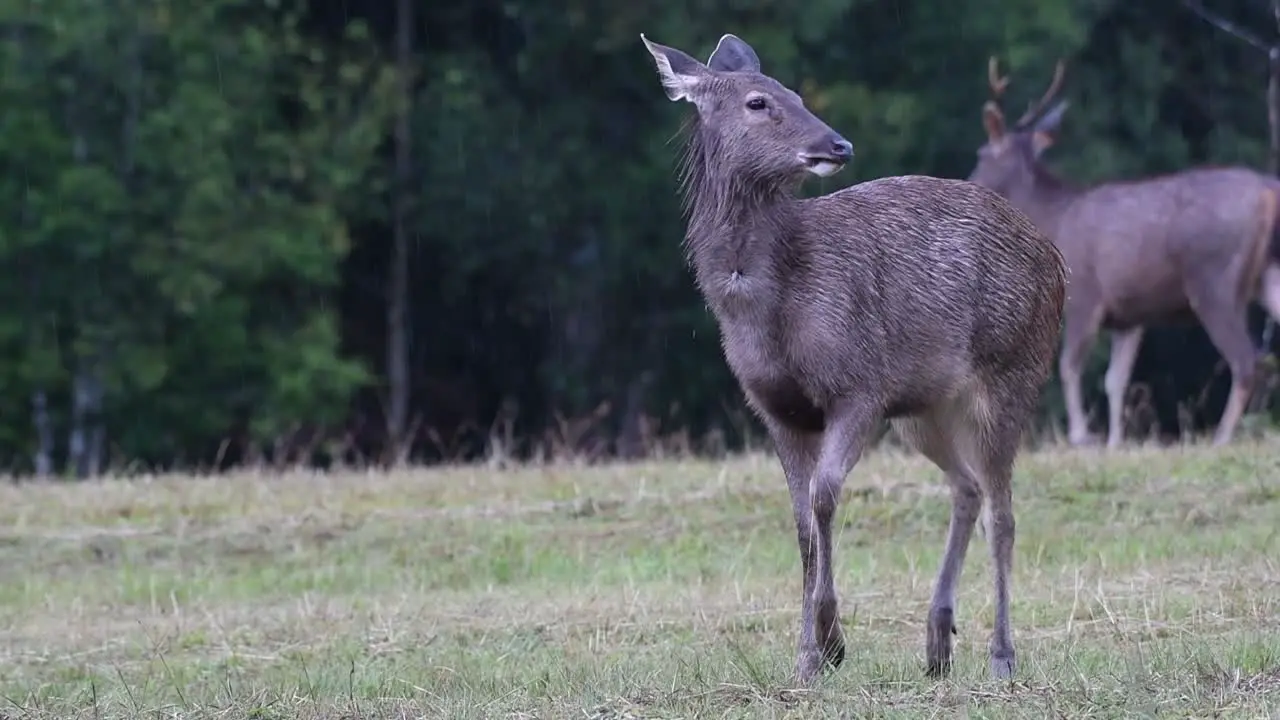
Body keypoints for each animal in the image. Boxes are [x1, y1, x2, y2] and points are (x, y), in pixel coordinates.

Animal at [640, 33, 1070, 681]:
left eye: (797, 93)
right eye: (759, 102)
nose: (837, 144)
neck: (767, 308)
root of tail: (1057, 262)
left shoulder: (859, 387)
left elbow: (824, 497)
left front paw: (831, 641)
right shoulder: (775, 408)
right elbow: (801, 523)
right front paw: (807, 659)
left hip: (1012, 370)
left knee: (1004, 511)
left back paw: (1001, 655)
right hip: (925, 407)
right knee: (968, 488)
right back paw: (937, 644)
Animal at [962, 58, 1280, 445]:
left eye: (981, 153)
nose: (968, 180)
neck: (1052, 217)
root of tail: (1269, 190)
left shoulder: (1085, 295)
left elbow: (1069, 366)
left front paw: (1081, 436)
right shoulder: (1129, 315)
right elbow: (1115, 379)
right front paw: (1115, 440)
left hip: (1214, 278)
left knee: (1247, 360)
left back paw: (1221, 437)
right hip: (1267, 271)